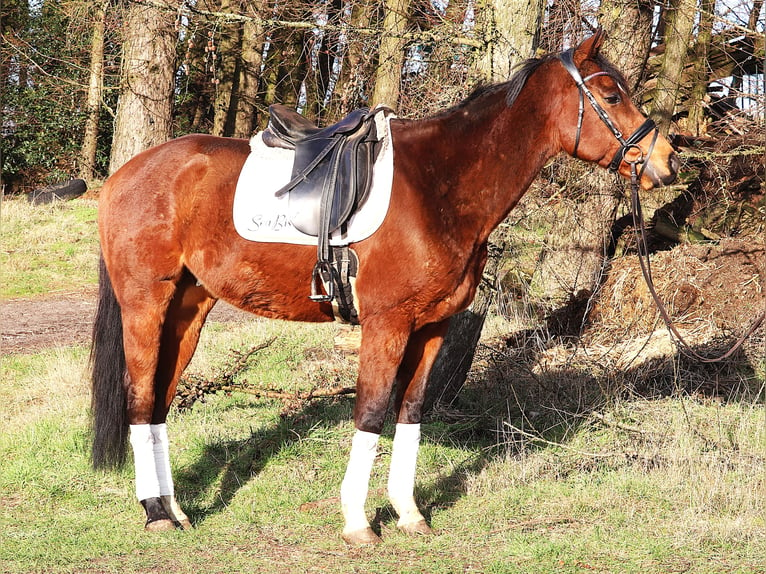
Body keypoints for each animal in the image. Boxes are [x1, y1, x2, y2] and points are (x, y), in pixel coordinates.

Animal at [90, 30, 680, 544]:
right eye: (610, 93)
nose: (667, 159)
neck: (438, 188)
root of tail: (125, 174)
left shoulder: (434, 326)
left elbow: (411, 411)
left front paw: (409, 513)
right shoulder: (386, 323)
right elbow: (372, 412)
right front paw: (358, 522)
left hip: (188, 309)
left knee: (160, 401)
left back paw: (175, 510)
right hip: (146, 305)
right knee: (140, 398)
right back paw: (154, 514)